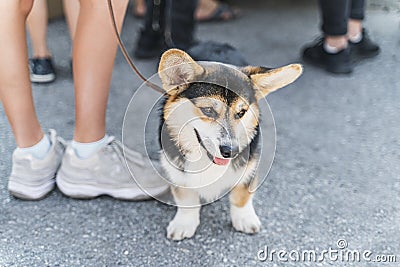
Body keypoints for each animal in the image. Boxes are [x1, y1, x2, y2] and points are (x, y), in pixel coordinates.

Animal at [158, 49, 302, 242]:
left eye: (241, 112)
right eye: (208, 110)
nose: (231, 151)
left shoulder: (249, 167)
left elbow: (242, 196)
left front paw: (245, 219)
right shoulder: (178, 172)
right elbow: (186, 199)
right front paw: (183, 224)